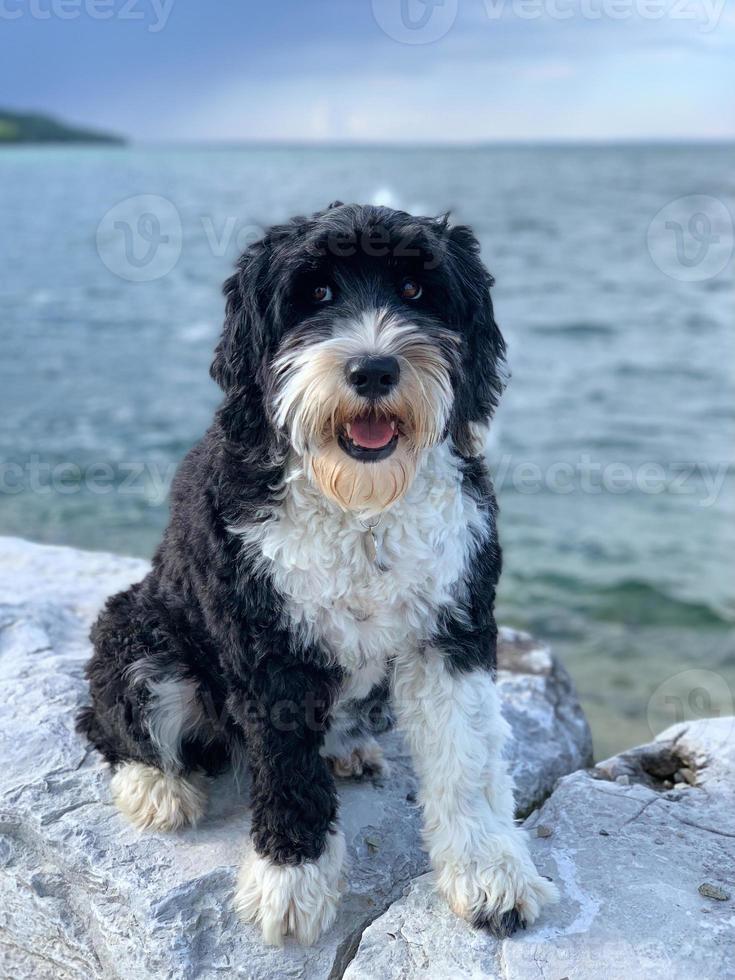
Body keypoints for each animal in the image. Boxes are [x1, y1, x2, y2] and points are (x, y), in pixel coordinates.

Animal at [76, 203, 556, 944]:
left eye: (416, 291)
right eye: (316, 293)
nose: (374, 368)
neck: (360, 507)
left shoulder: (452, 625)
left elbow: (467, 755)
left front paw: (488, 873)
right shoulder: (263, 643)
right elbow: (285, 763)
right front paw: (291, 881)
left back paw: (347, 747)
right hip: (142, 632)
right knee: (109, 719)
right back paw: (155, 785)